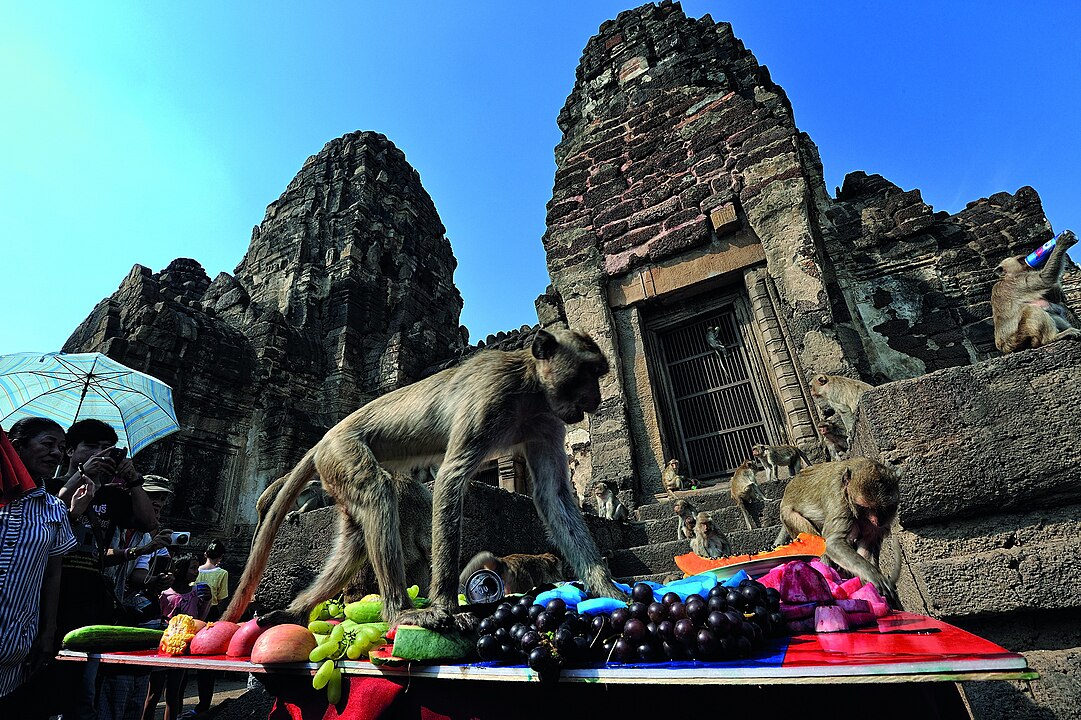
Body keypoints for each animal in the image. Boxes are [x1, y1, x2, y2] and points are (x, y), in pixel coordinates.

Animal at [223, 327, 626, 631]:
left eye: (598, 373)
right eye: (587, 372)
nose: (595, 399)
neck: (530, 386)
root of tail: (325, 438)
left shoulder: (547, 421)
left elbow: (553, 495)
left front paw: (609, 590)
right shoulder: (493, 396)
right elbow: (451, 478)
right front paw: (447, 605)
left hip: (336, 473)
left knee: (356, 537)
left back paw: (295, 611)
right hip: (343, 452)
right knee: (378, 493)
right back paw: (401, 611)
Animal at [774, 458, 902, 607]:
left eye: (885, 508)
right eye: (866, 507)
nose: (878, 521)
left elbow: (867, 545)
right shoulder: (839, 499)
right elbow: (832, 543)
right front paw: (873, 575)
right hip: (788, 515)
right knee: (816, 541)